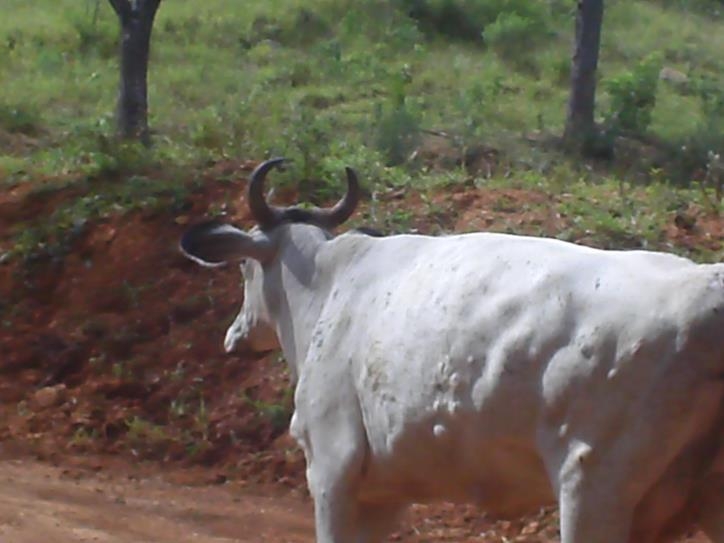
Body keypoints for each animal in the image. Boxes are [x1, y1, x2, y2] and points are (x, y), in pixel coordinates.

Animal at [182, 158, 724, 543]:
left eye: (244, 267)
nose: (234, 336)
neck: (327, 284)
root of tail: (703, 286)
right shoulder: (384, 493)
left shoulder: (333, 466)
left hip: (592, 489)